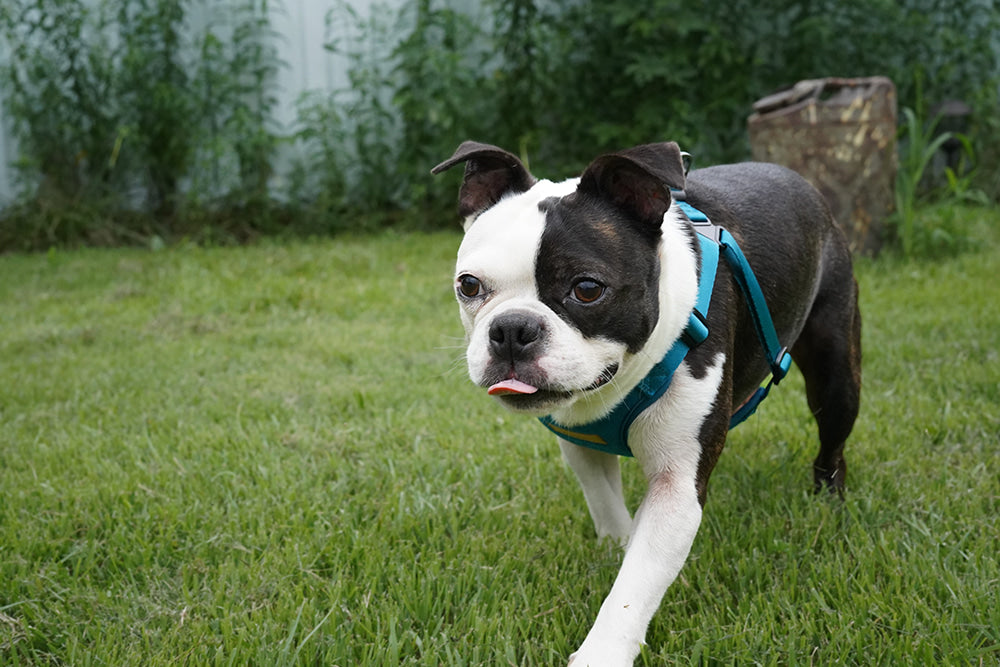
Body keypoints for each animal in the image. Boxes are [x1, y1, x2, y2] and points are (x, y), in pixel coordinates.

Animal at [430, 140, 860, 664]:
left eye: (587, 289)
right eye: (468, 285)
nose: (512, 329)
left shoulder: (675, 486)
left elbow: (634, 586)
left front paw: (600, 654)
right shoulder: (580, 442)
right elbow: (609, 510)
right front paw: (620, 543)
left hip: (836, 373)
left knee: (832, 438)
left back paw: (828, 501)